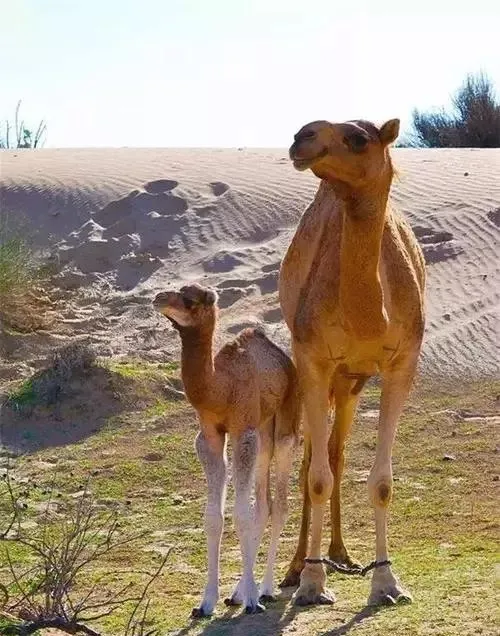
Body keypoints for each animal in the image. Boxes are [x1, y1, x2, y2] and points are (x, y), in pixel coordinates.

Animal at [154, 284, 298, 616]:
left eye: (190, 300)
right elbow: (213, 518)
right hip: (263, 430)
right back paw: (240, 592)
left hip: (285, 424)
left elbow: (241, 515)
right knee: (264, 504)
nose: (158, 298)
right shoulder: (210, 436)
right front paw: (206, 602)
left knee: (279, 505)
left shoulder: (242, 431)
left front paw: (253, 601)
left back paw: (265, 588)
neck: (220, 388)